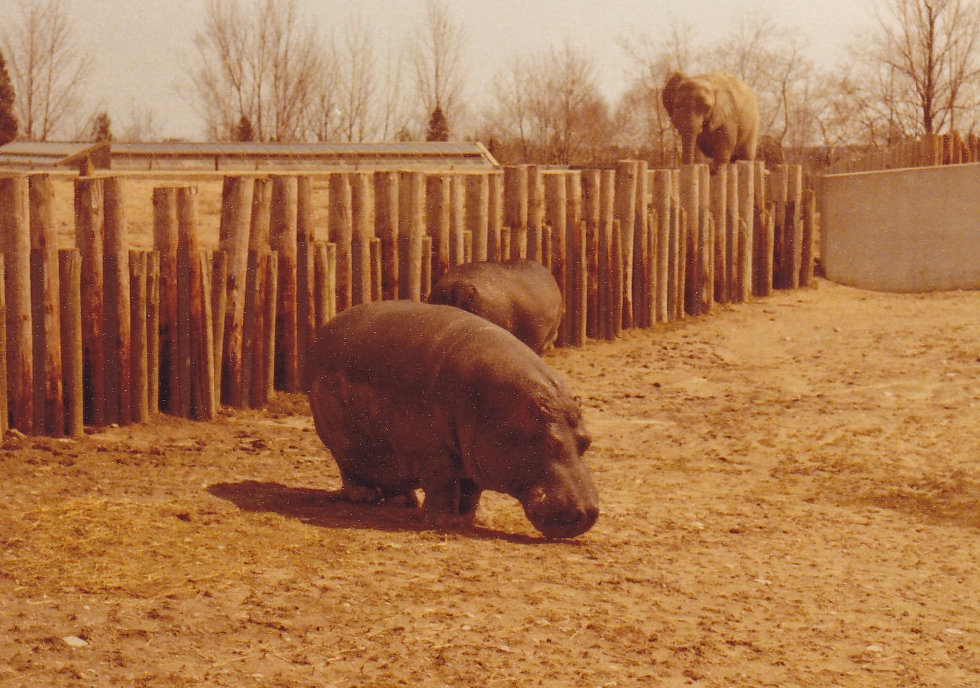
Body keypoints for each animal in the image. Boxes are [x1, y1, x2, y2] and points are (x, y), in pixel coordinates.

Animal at [308, 300, 598, 539]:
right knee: (349, 470)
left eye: (586, 441)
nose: (588, 512)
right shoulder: (434, 453)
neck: (497, 405)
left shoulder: (474, 452)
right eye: (549, 443)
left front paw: (466, 519)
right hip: (336, 440)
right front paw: (442, 521)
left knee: (391, 476)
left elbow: (471, 489)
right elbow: (442, 482)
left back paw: (405, 501)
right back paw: (365, 497)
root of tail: (327, 327)